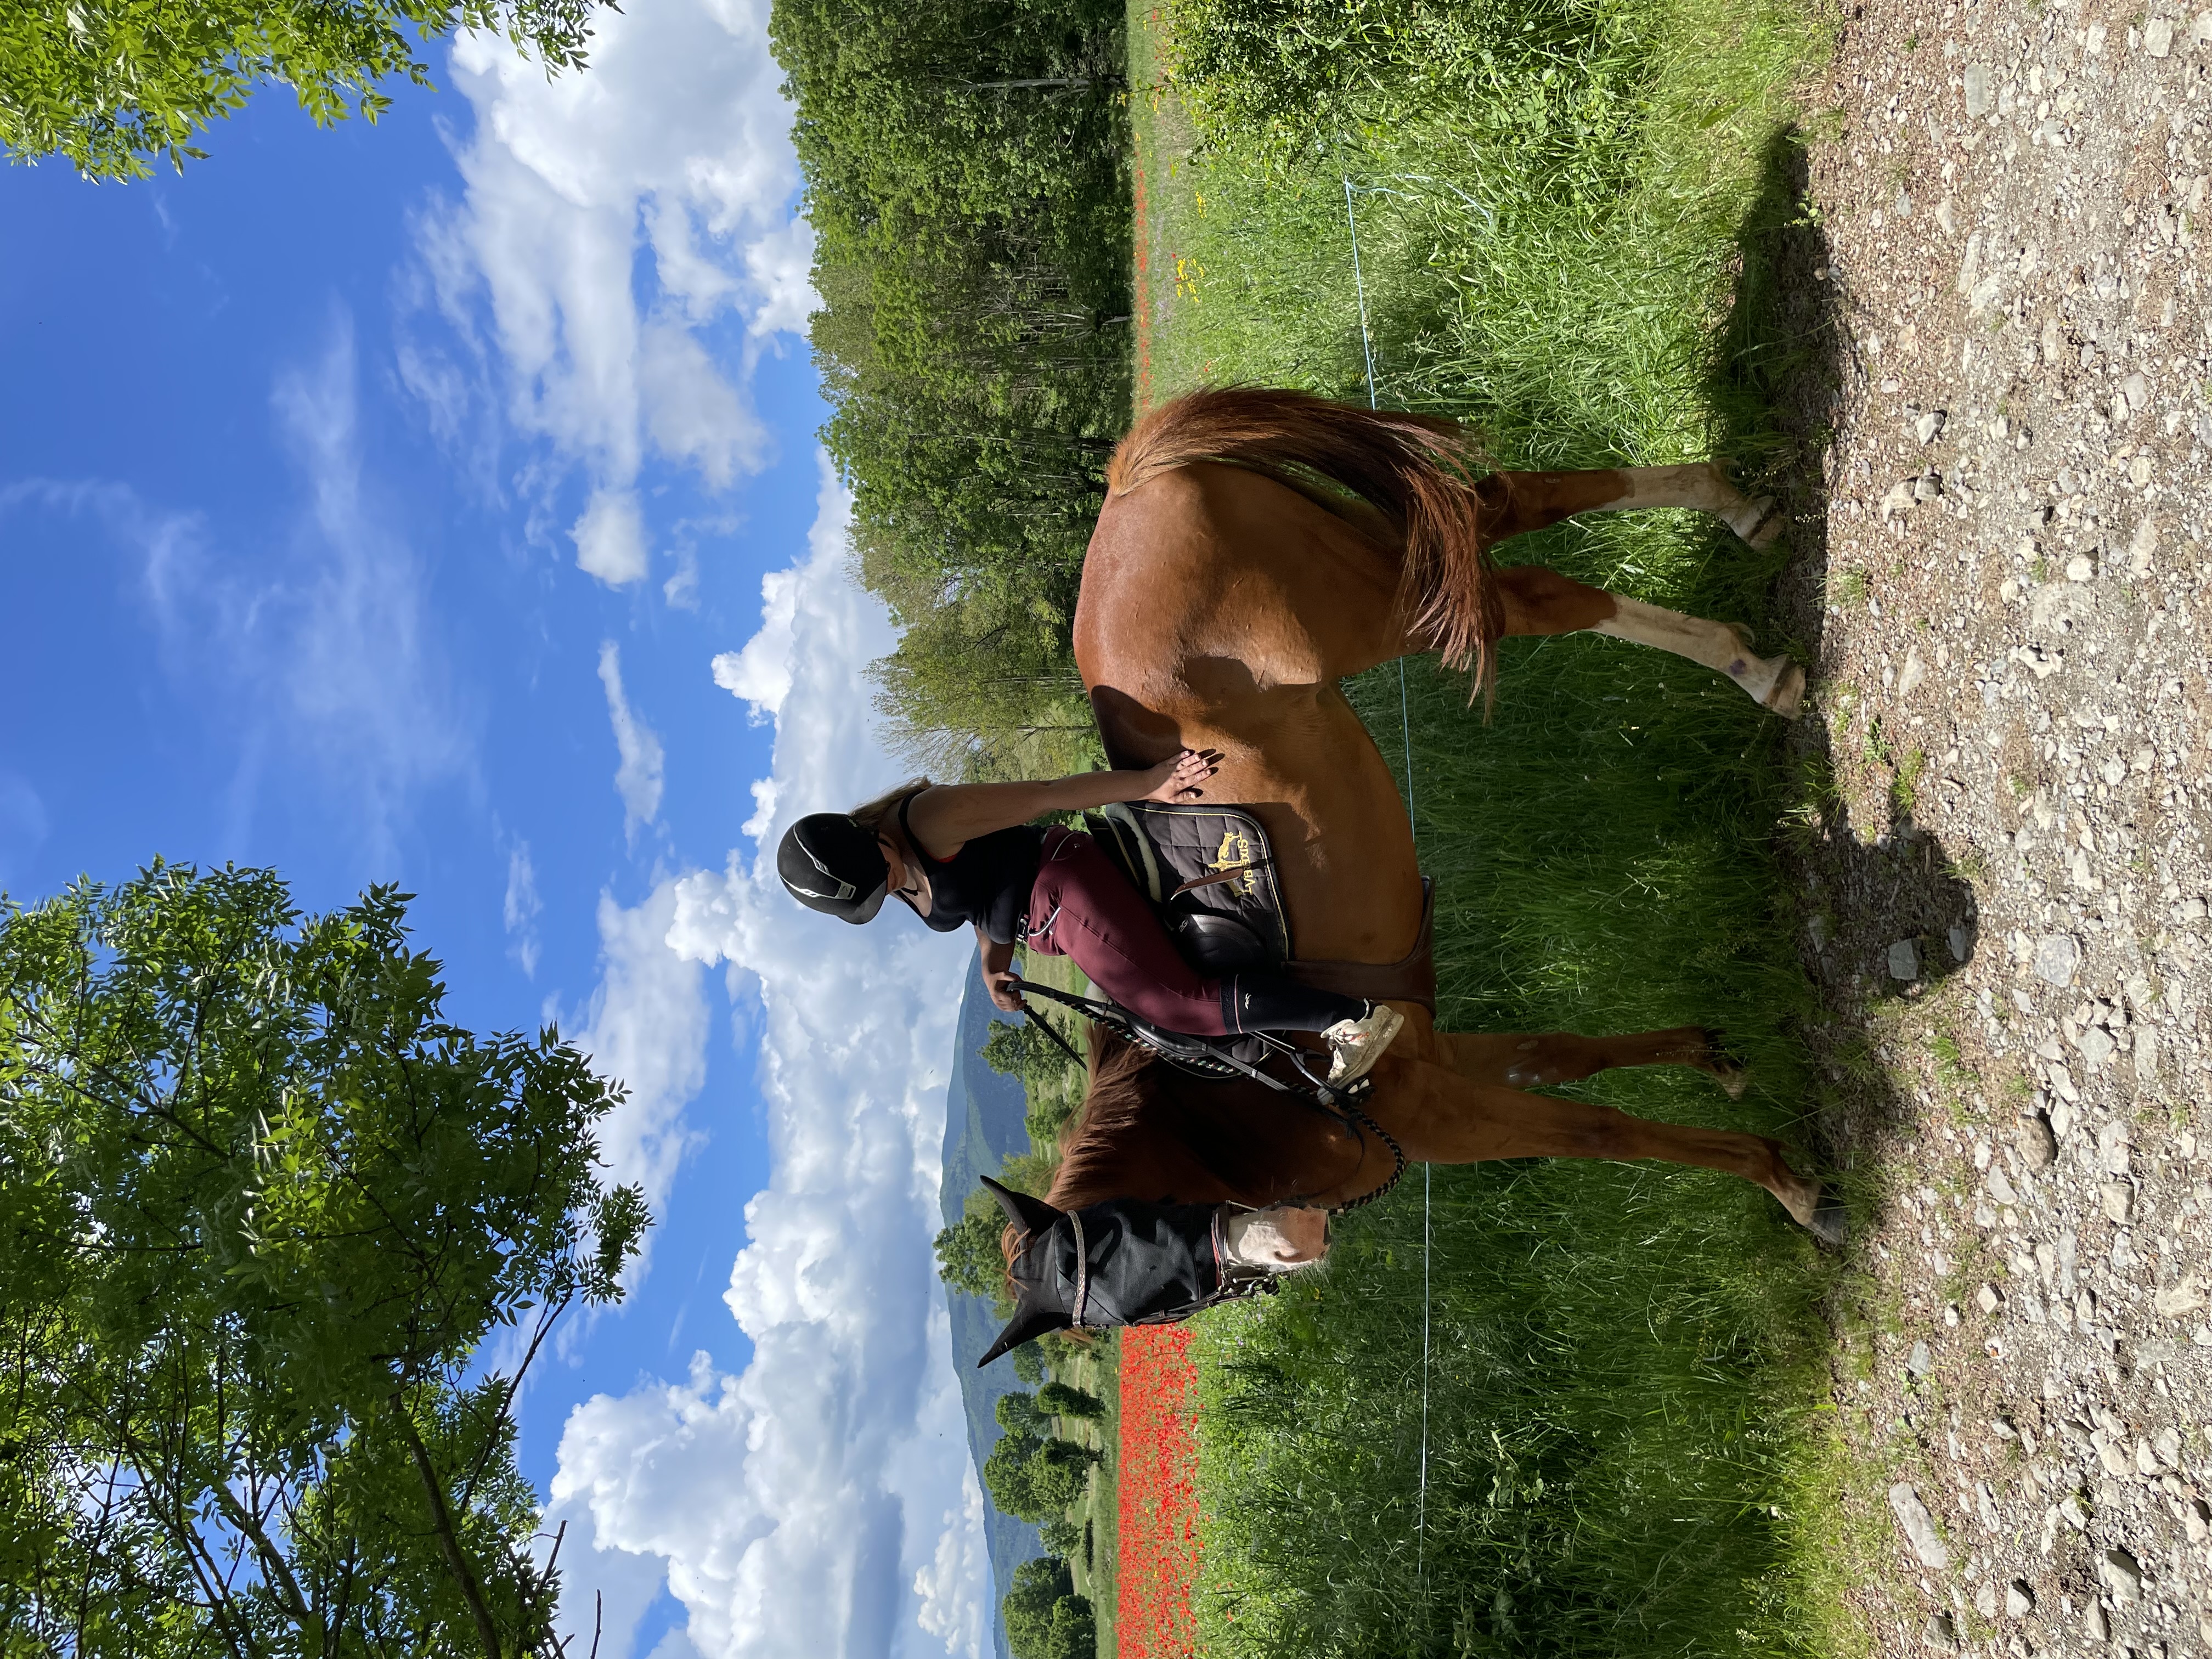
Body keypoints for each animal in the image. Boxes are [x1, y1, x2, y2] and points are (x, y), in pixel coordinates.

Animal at [1044, 386, 1839, 1241]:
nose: (1287, 1248)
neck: (1220, 1112)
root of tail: (1127, 485)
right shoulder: (1439, 1056)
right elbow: (1564, 1051)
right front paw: (1708, 1055)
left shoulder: (1437, 1111)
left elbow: (1599, 1130)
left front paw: (1788, 1183)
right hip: (1374, 553)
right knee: (1500, 506)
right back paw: (1735, 512)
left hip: (1383, 606)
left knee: (1529, 591)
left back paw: (1753, 664)